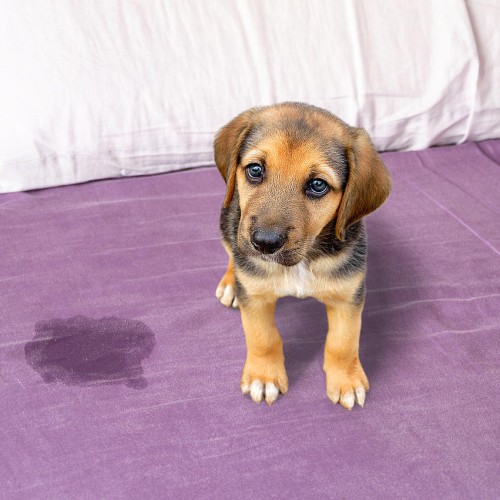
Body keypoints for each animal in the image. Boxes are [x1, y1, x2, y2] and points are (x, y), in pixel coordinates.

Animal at [213, 102, 392, 410]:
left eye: (318, 185)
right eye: (255, 169)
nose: (264, 243)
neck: (303, 260)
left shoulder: (348, 296)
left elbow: (343, 342)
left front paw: (346, 381)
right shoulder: (256, 297)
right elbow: (263, 338)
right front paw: (264, 377)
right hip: (228, 221)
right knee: (231, 252)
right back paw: (230, 283)